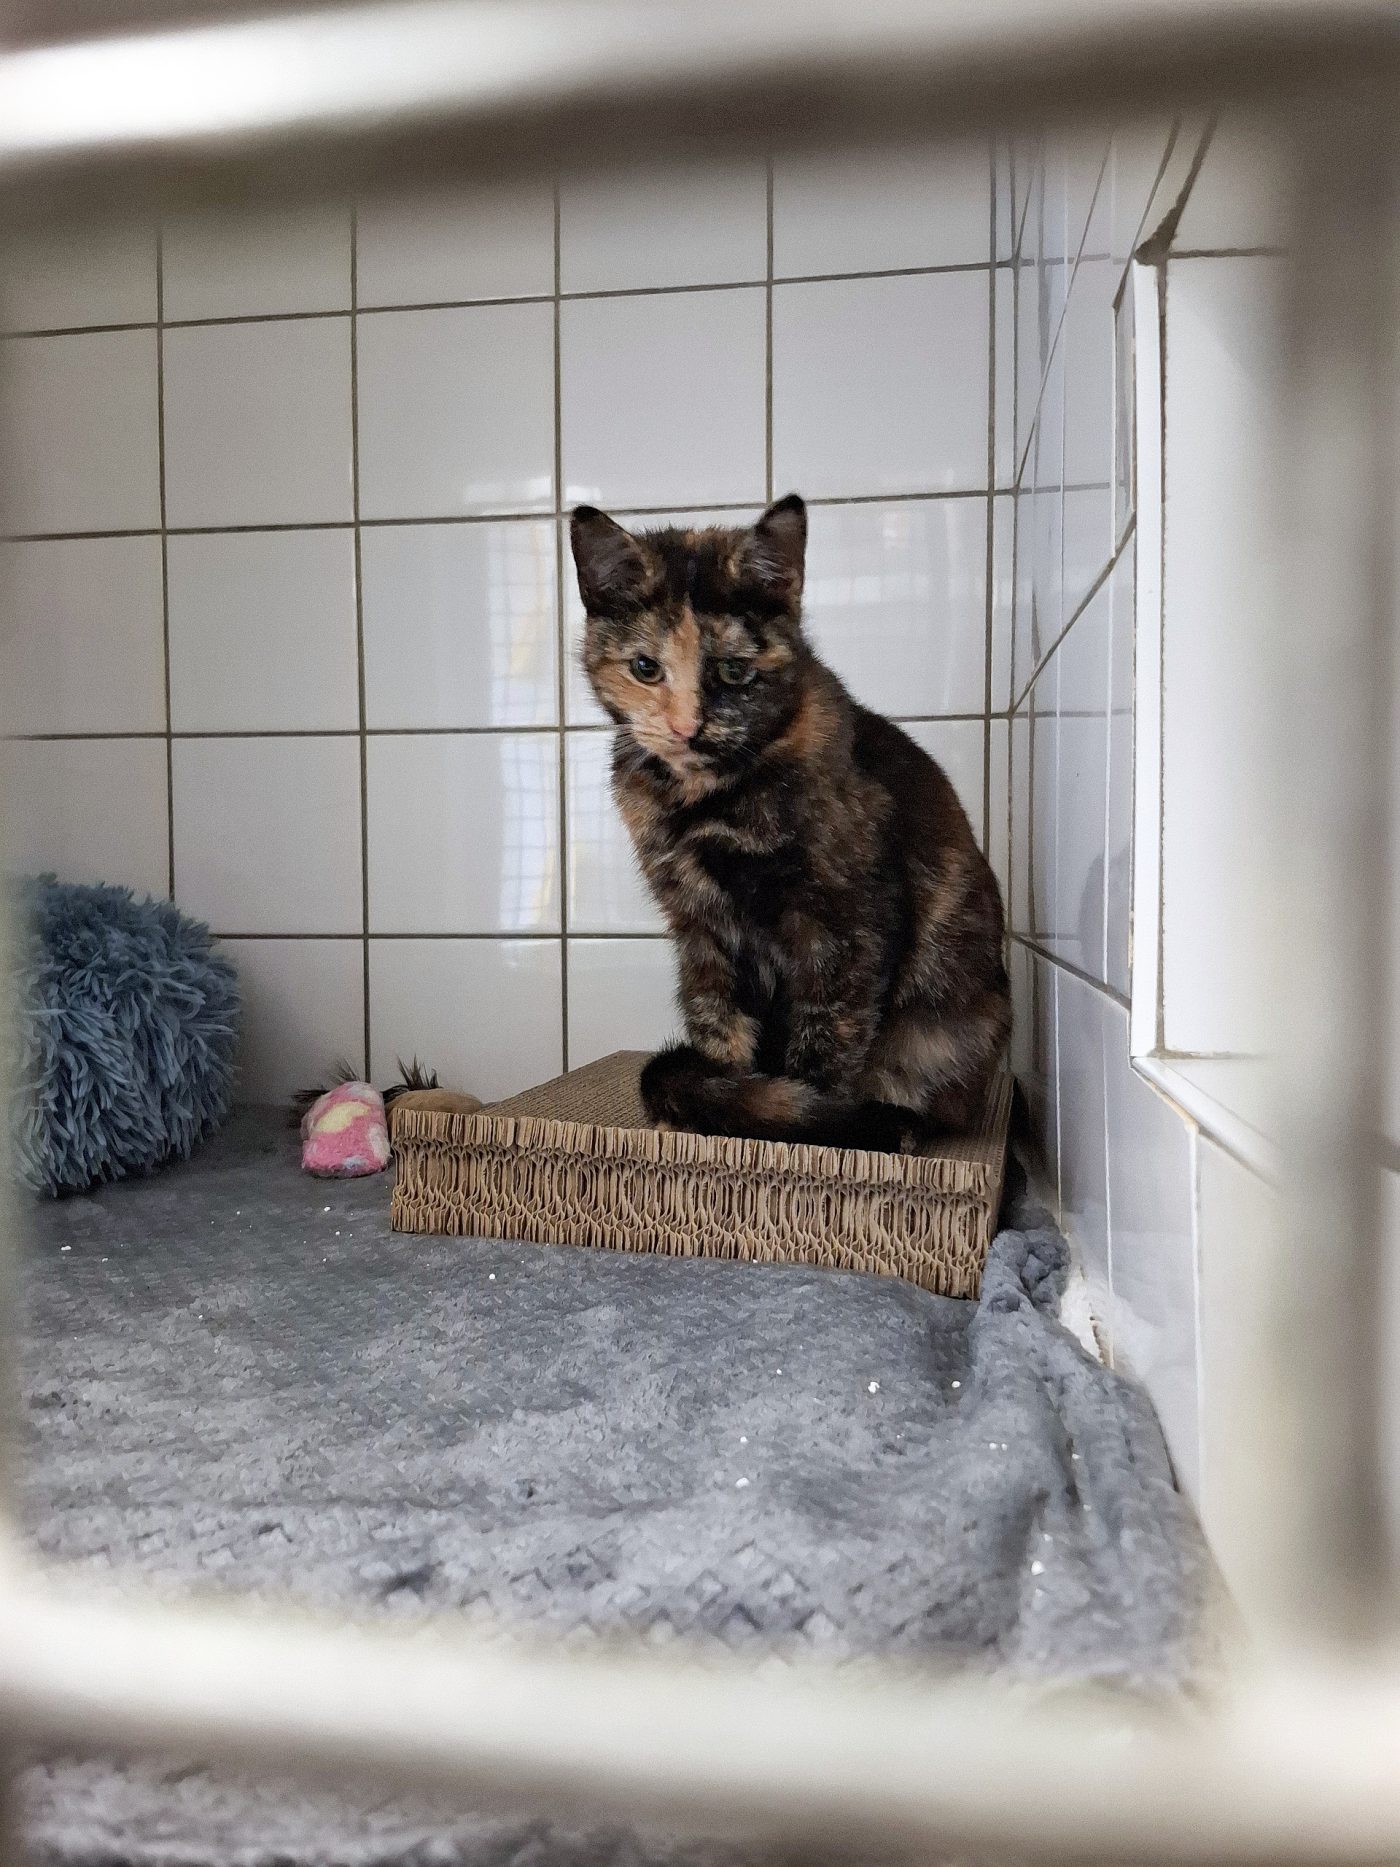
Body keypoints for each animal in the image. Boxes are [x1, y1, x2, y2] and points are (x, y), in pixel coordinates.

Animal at [570, 493, 1011, 1153]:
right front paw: (716, 1108)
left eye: (732, 671)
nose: (685, 727)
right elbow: (717, 1022)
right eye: (645, 667)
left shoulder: (846, 923)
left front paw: (805, 1129)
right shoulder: (699, 926)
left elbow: (826, 1037)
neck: (703, 802)